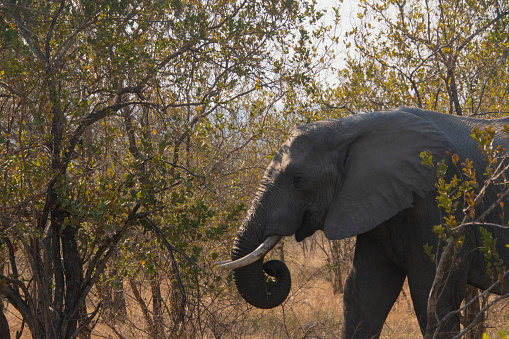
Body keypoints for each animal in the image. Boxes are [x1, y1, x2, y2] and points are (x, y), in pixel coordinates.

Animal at [216, 107, 508, 338]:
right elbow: (364, 293)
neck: (350, 128)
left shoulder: (438, 201)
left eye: (297, 180)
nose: (273, 268)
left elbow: (435, 297)